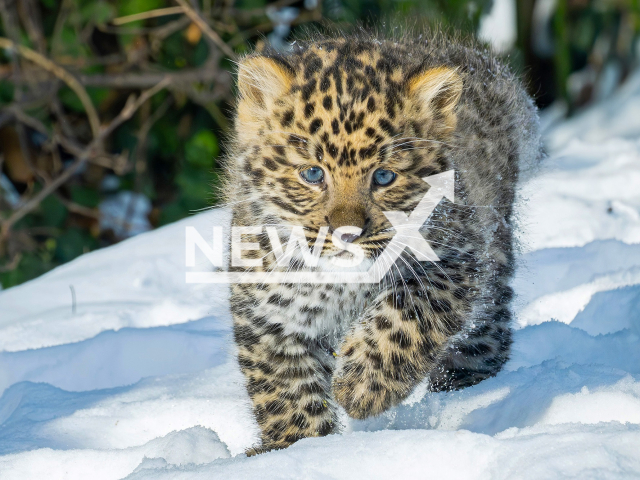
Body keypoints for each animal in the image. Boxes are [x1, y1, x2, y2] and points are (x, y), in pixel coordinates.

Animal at [222, 28, 541, 454]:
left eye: (384, 177)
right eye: (312, 174)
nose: (347, 233)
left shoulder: (455, 258)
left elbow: (406, 319)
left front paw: (361, 387)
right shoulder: (268, 308)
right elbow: (283, 387)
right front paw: (296, 447)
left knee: (489, 322)